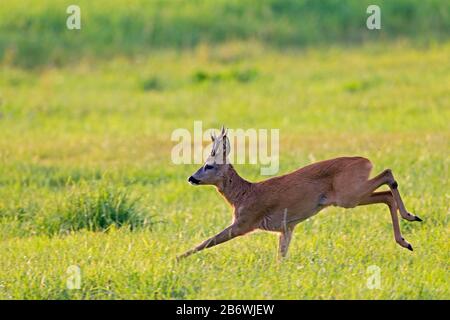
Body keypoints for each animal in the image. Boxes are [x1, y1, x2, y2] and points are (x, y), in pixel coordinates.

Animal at [178, 126, 422, 258]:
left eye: (209, 165)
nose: (191, 178)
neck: (243, 194)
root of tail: (366, 161)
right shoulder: (286, 228)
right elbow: (281, 256)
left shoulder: (244, 223)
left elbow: (206, 241)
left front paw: (177, 258)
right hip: (352, 196)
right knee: (386, 193)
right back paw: (408, 233)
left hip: (349, 195)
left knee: (388, 176)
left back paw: (409, 222)